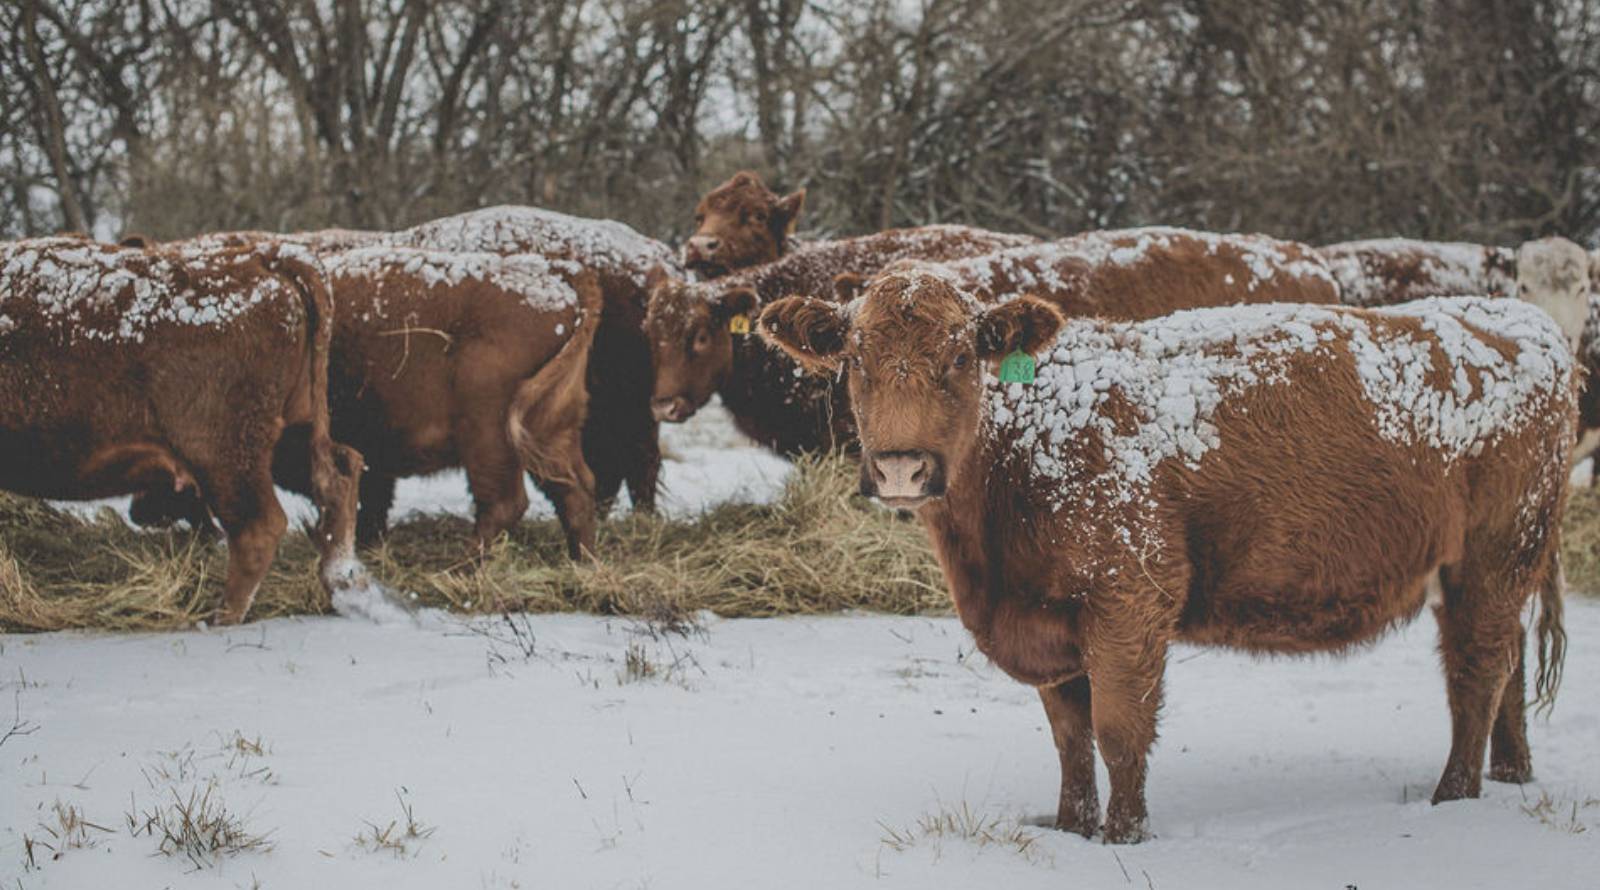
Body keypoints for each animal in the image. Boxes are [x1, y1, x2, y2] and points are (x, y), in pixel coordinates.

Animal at [0, 236, 366, 624]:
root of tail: (263, 260)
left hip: (223, 455)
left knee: (259, 526)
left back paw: (221, 617)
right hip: (289, 434)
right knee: (337, 475)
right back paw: (339, 583)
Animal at [758, 268, 1574, 838]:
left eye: (960, 356)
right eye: (855, 357)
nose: (902, 467)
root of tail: (1518, 317)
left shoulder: (1129, 599)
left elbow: (1119, 732)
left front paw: (1123, 838)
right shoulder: (1050, 619)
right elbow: (1070, 738)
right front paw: (1072, 829)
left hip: (1495, 555)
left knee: (1477, 675)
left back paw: (1453, 798)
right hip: (1489, 570)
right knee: (1506, 666)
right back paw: (1511, 774)